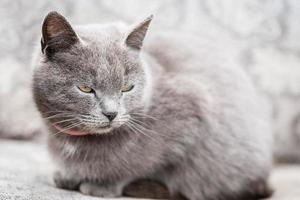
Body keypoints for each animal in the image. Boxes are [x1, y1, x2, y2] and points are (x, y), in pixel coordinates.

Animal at [31, 11, 274, 199]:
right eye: (85, 88)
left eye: (127, 87)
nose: (111, 113)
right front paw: (68, 175)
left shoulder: (193, 107)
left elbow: (140, 162)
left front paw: (103, 184)